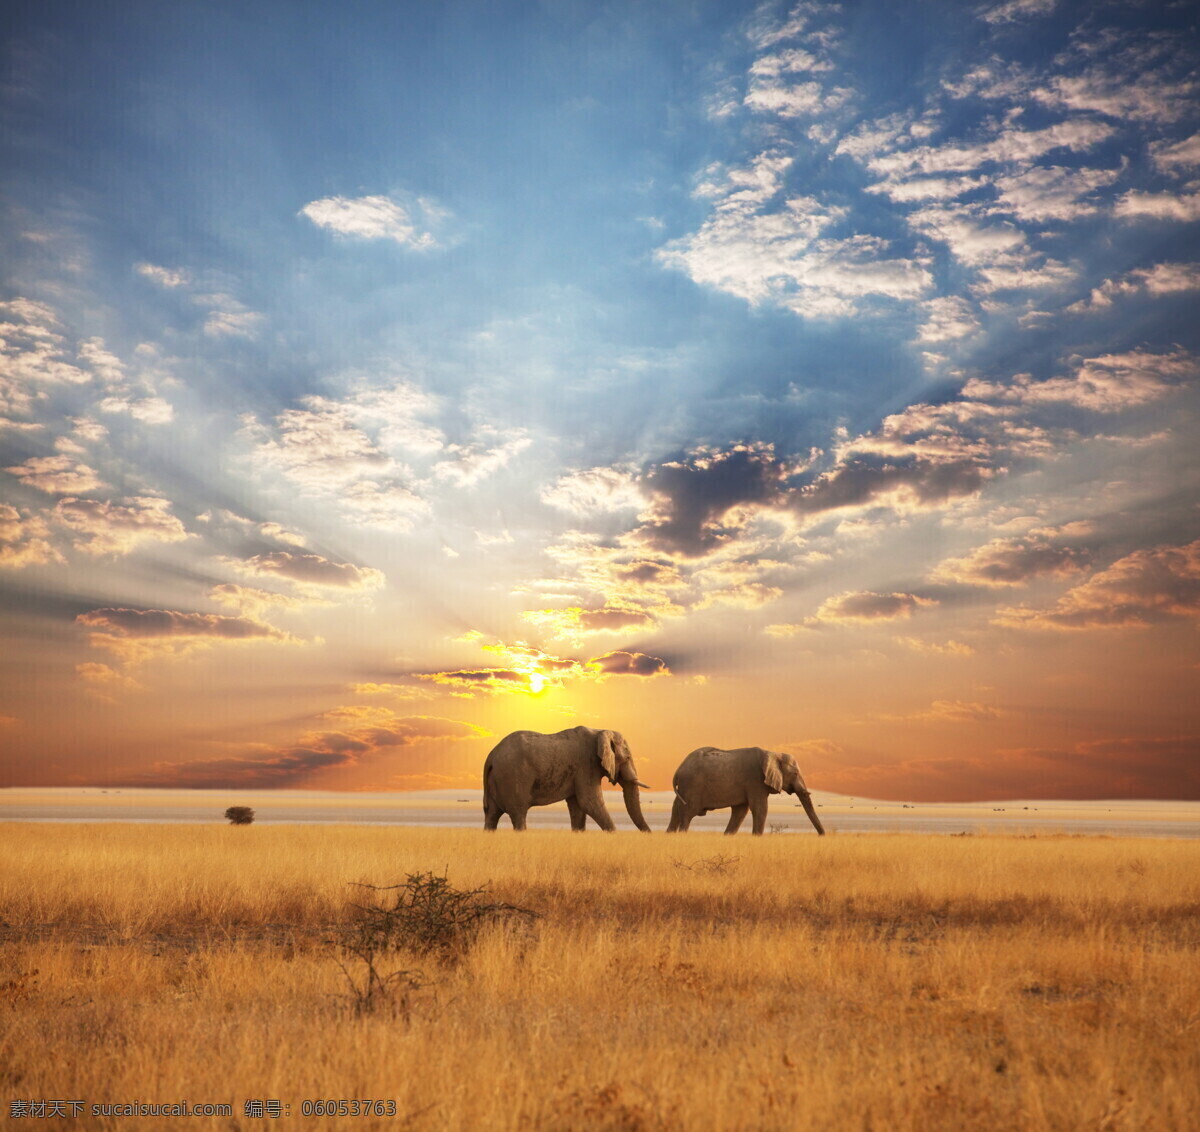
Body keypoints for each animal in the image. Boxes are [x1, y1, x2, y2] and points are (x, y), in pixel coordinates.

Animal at [480, 725, 657, 830]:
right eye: (627, 758)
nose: (649, 834)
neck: (600, 731)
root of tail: (491, 756)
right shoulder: (587, 765)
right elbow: (590, 802)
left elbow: (578, 807)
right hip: (512, 777)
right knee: (518, 814)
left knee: (492, 815)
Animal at [667, 749, 825, 835]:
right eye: (795, 773)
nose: (822, 835)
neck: (773, 753)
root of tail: (678, 770)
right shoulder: (755, 781)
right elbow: (760, 809)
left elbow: (740, 811)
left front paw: (727, 836)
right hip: (691, 786)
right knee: (687, 814)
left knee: (675, 811)